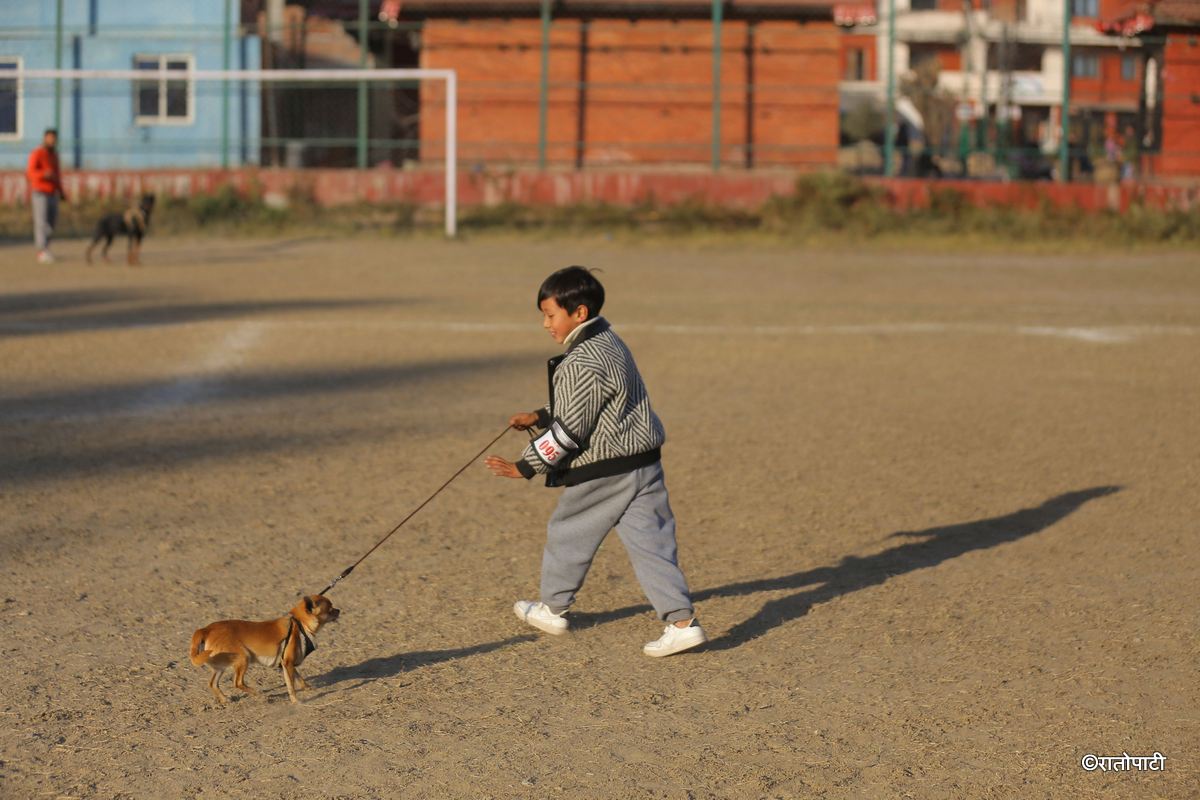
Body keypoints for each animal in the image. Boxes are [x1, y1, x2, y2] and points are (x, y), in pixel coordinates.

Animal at [187, 594, 340, 700]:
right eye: (330, 609)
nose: (339, 610)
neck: (300, 623)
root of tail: (206, 629)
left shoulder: (287, 664)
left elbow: (299, 678)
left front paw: (307, 688)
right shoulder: (288, 663)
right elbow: (291, 686)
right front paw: (297, 702)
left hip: (220, 667)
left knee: (213, 683)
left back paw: (225, 700)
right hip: (243, 658)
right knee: (238, 682)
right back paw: (259, 695)